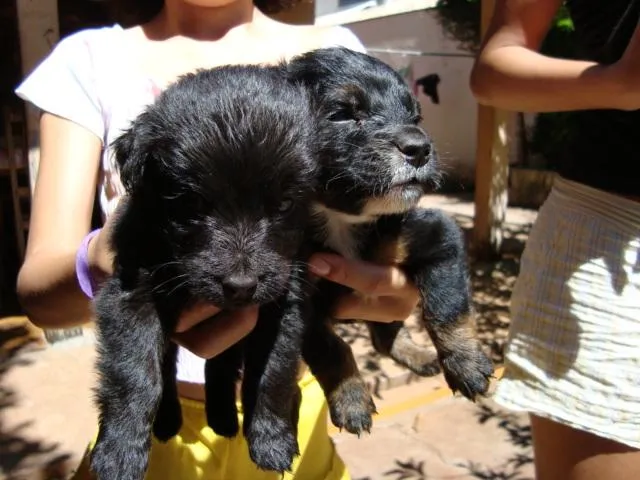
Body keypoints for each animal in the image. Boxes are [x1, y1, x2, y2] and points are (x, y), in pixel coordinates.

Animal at [89, 64, 318, 480]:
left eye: (285, 205)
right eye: (192, 204)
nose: (241, 286)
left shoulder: (285, 301)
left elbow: (273, 371)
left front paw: (272, 440)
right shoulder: (129, 295)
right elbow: (136, 373)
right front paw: (119, 452)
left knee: (221, 366)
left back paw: (224, 420)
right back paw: (166, 424)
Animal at [286, 48, 496, 436]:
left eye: (416, 116)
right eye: (342, 113)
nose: (420, 148)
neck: (342, 219)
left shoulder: (438, 235)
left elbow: (447, 307)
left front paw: (466, 364)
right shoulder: (293, 300)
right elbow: (330, 348)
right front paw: (351, 400)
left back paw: (422, 357)